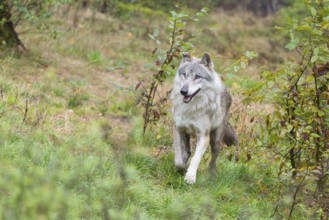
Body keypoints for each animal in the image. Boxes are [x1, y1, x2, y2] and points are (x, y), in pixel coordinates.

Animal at [170, 52, 237, 184]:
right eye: (184, 74)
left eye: (197, 76)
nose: (183, 91)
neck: (191, 108)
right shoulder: (178, 129)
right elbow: (178, 158)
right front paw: (181, 168)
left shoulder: (203, 137)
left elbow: (195, 159)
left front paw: (190, 177)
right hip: (187, 135)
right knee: (187, 151)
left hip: (216, 140)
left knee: (213, 159)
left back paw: (212, 174)